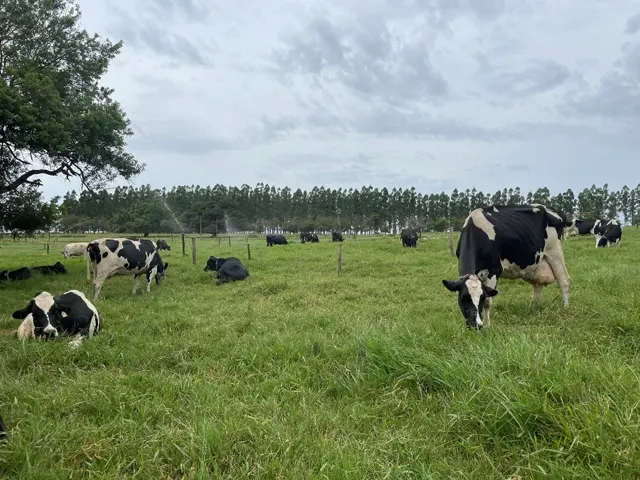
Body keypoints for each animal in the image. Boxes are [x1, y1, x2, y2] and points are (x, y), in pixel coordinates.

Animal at [442, 202, 572, 330]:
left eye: (481, 298)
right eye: (463, 298)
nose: (476, 325)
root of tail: (552, 210)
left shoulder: (494, 270)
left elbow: (488, 301)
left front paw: (487, 325)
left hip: (555, 252)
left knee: (564, 281)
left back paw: (565, 307)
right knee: (538, 285)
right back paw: (532, 308)